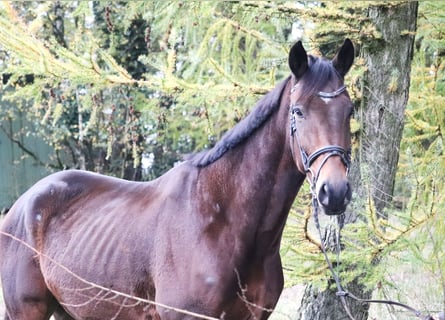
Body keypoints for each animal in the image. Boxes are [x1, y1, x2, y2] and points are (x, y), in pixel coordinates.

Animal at [0, 38, 354, 318]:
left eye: (349, 111)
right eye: (298, 111)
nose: (334, 191)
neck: (224, 220)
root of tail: (21, 205)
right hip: (27, 310)